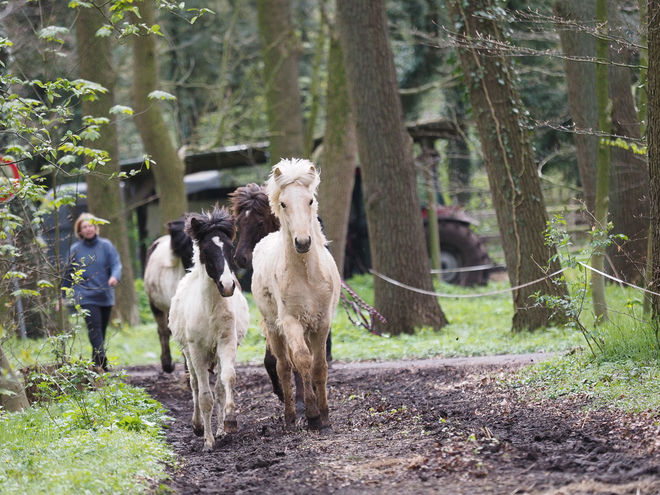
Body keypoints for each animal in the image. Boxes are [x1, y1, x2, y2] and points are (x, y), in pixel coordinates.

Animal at [170, 207, 250, 452]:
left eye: (230, 247)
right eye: (206, 250)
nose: (228, 286)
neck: (210, 310)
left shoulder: (226, 342)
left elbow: (227, 380)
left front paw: (229, 422)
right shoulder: (196, 351)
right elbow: (204, 395)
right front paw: (207, 441)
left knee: (219, 387)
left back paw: (221, 428)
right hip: (189, 354)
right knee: (195, 385)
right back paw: (198, 426)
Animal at [251, 160, 340, 434]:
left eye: (310, 200)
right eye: (283, 203)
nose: (302, 242)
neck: (306, 274)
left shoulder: (322, 323)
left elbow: (319, 366)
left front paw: (325, 418)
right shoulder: (290, 321)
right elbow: (301, 360)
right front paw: (312, 415)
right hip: (275, 328)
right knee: (283, 366)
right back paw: (290, 417)